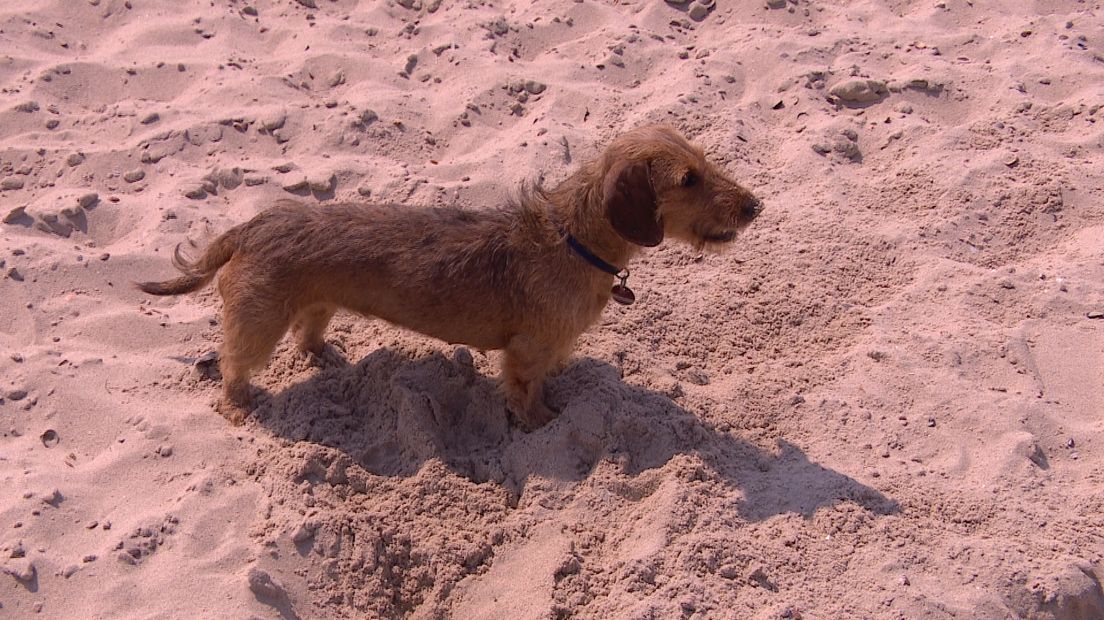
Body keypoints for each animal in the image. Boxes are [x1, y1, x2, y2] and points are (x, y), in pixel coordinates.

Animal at [138, 123, 763, 428]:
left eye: (705, 162)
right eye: (687, 179)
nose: (755, 206)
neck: (573, 237)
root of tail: (250, 225)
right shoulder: (527, 350)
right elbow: (525, 391)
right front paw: (539, 422)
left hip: (318, 303)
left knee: (307, 333)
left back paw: (326, 356)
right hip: (257, 324)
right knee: (233, 364)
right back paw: (238, 404)